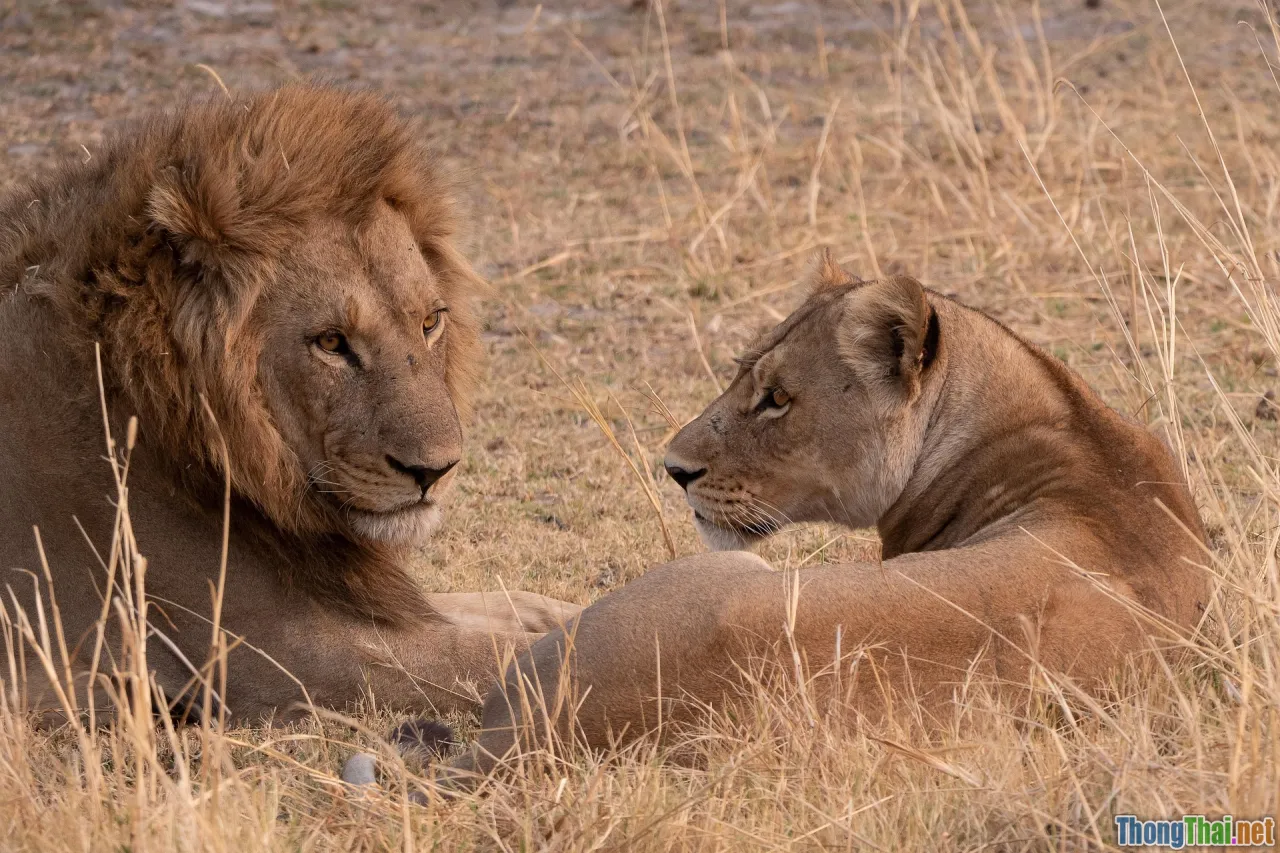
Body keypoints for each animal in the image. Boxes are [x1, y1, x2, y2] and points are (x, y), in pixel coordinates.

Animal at [0, 85, 579, 725]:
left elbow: (494, 607)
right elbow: (504, 655)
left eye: (430, 323)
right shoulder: (281, 654)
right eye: (330, 342)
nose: (436, 471)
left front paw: (565, 607)